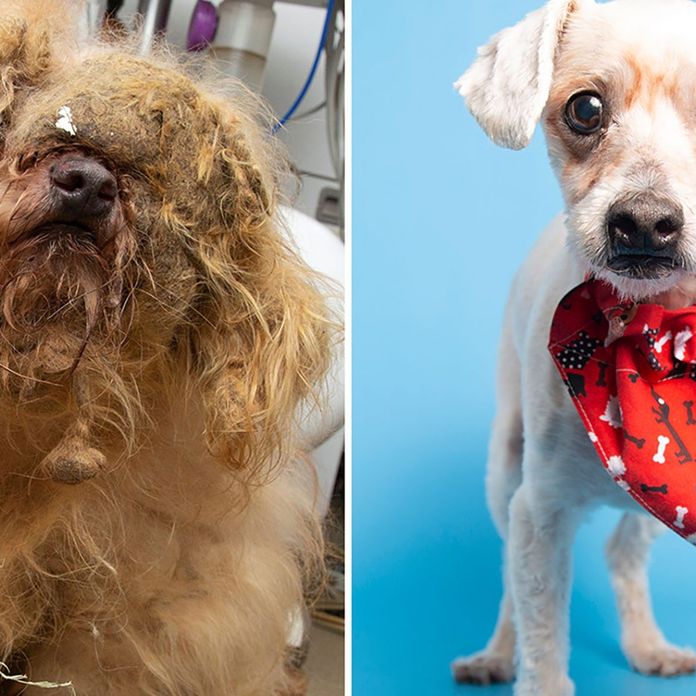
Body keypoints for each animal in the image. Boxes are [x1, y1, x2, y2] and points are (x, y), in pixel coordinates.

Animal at [452, 1, 696, 696]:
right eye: (585, 109)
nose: (644, 222)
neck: (654, 324)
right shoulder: (541, 510)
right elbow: (540, 635)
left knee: (624, 551)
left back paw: (647, 643)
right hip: (505, 471)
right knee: (511, 584)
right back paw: (495, 654)